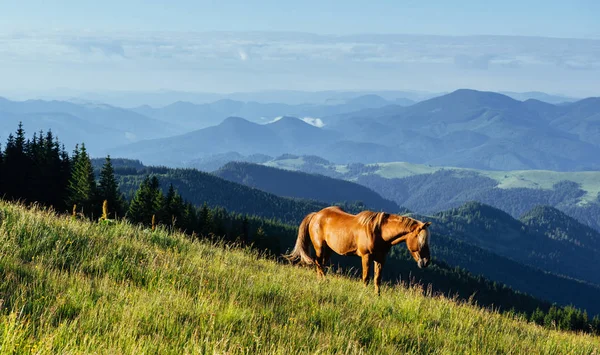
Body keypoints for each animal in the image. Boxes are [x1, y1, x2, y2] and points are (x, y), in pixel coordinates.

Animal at [286, 206, 432, 294]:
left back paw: (321, 281)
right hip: (320, 247)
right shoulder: (366, 256)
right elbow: (366, 277)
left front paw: (377, 296)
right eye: (421, 241)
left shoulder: (380, 259)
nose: (426, 262)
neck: (379, 232)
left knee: (320, 264)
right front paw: (365, 293)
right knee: (318, 263)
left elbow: (377, 279)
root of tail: (316, 215)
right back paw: (325, 281)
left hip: (328, 250)